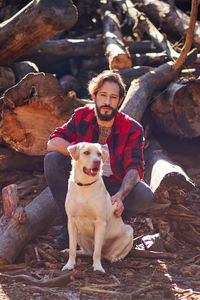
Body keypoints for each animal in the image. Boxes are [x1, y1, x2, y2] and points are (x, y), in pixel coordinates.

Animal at [61, 141, 134, 272]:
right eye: (86, 152)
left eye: (99, 154)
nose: (97, 162)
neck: (84, 185)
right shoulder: (72, 221)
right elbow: (72, 248)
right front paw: (69, 264)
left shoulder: (100, 222)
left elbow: (97, 252)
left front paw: (98, 267)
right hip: (79, 233)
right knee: (86, 251)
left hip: (129, 231)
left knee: (109, 254)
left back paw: (116, 259)